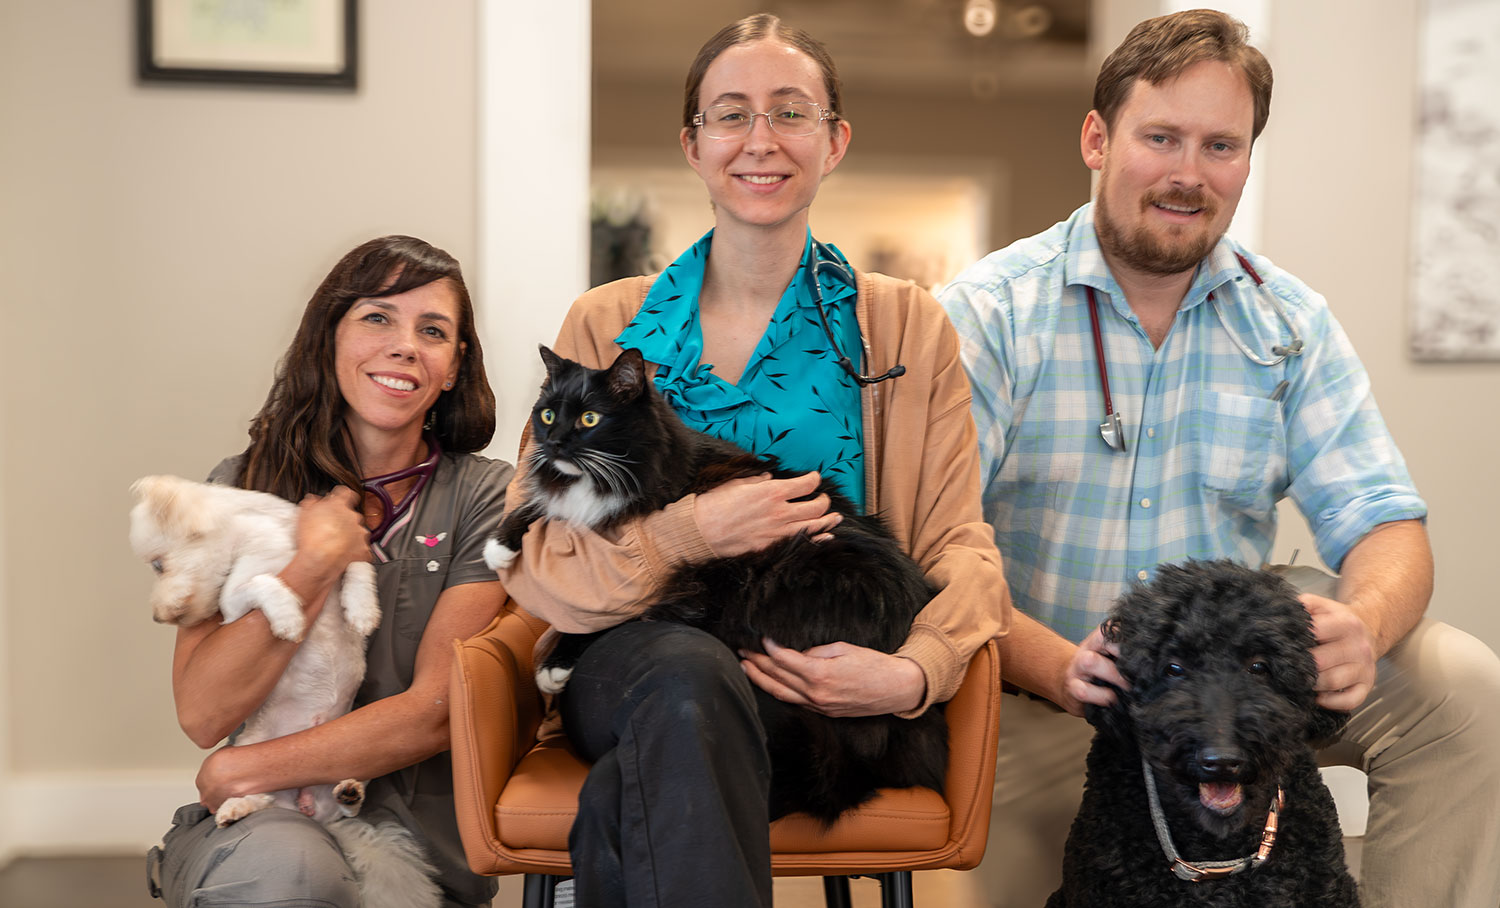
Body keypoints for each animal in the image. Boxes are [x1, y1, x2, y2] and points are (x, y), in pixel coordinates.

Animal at [130, 474, 438, 906]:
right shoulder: (234, 606)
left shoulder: (343, 558)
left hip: (351, 763)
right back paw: (236, 808)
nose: (160, 616)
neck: (264, 536)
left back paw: (348, 793)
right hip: (251, 757)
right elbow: (262, 583)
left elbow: (359, 567)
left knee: (345, 807)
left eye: (158, 565)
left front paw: (362, 611)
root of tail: (303, 805)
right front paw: (290, 616)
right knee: (259, 797)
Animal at [486, 345, 942, 822]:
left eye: (589, 419)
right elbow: (539, 507)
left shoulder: (679, 581)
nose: (553, 442)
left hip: (746, 591)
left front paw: (556, 663)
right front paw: (500, 544)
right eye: (548, 415)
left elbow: (615, 615)